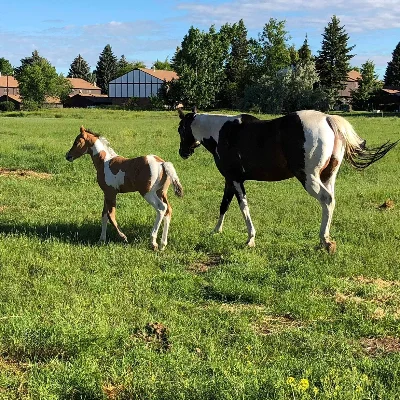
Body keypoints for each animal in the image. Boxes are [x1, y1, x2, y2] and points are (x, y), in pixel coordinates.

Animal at [177, 108, 396, 253]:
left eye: (180, 129)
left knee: (326, 200)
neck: (223, 132)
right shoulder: (231, 180)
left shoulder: (236, 180)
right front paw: (216, 230)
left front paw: (250, 238)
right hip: (328, 177)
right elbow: (224, 205)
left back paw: (325, 241)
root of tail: (327, 119)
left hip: (309, 178)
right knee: (331, 202)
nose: (182, 152)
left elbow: (243, 206)